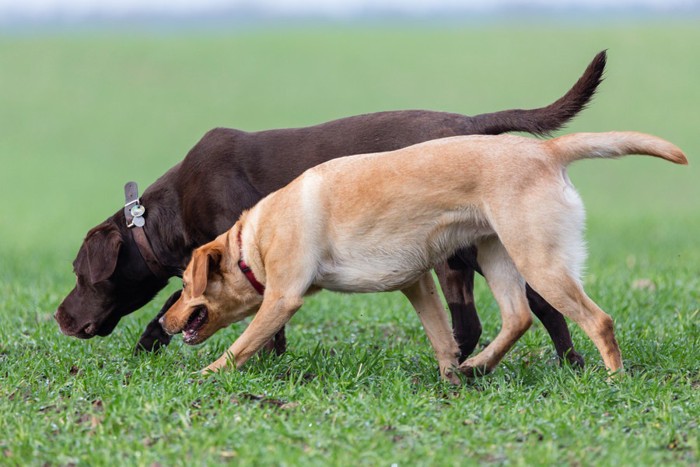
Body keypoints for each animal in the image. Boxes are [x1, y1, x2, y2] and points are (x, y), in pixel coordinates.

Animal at [161, 132, 688, 380]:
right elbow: (441, 338)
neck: (252, 242)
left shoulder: (283, 297)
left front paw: (204, 377)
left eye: (183, 286)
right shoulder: (417, 283)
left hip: (537, 259)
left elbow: (240, 346)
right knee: (518, 317)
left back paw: (614, 380)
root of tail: (546, 151)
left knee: (597, 320)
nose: (164, 323)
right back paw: (479, 367)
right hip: (498, 254)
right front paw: (450, 378)